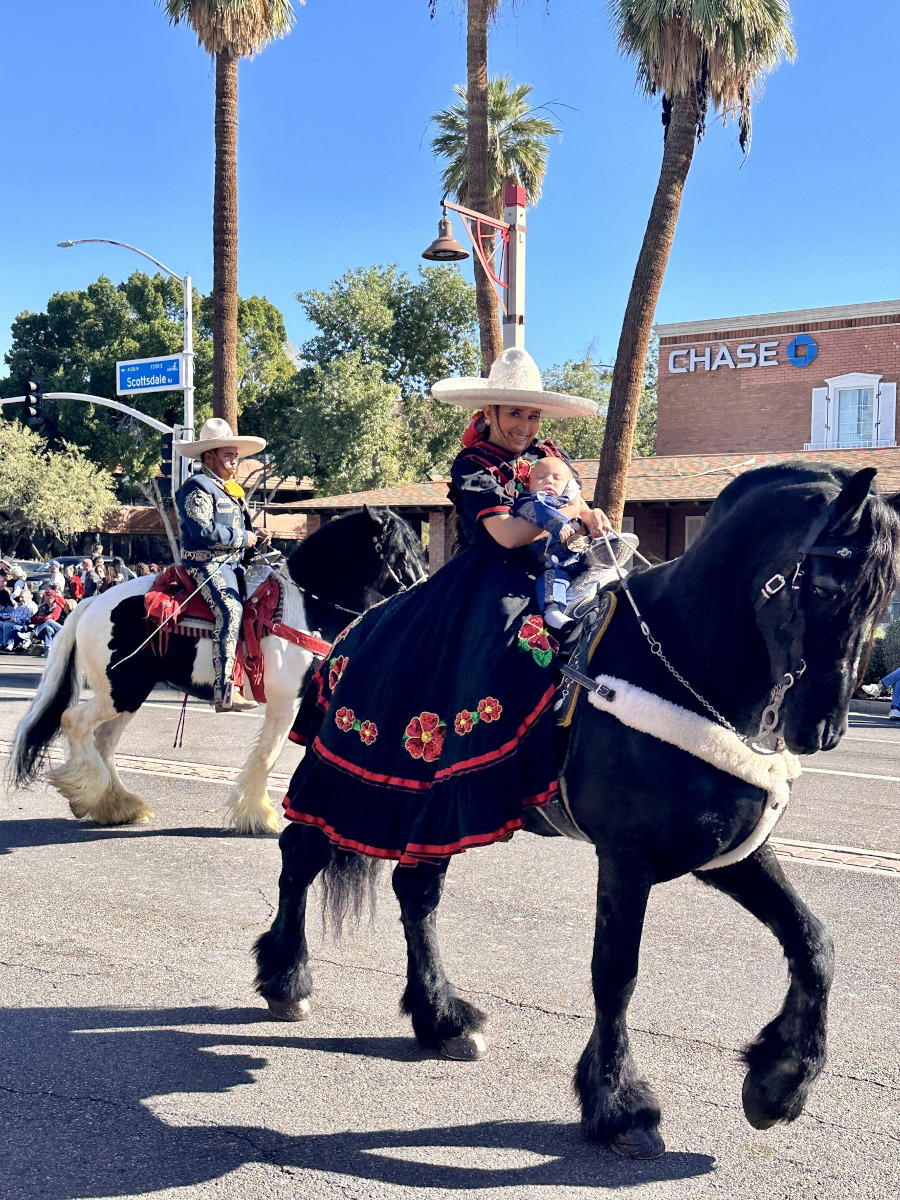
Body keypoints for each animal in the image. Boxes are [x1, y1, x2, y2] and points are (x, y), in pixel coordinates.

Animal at [252, 460, 900, 1152]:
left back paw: (441, 1017)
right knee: (302, 854)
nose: (822, 729)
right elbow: (616, 973)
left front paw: (781, 1081)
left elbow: (813, 941)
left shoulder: (726, 853)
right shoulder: (626, 856)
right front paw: (618, 1103)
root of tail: (358, 629)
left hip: (435, 810)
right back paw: (287, 979)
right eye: (826, 585)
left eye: (882, 596)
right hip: (351, 781)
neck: (678, 663)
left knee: (415, 892)